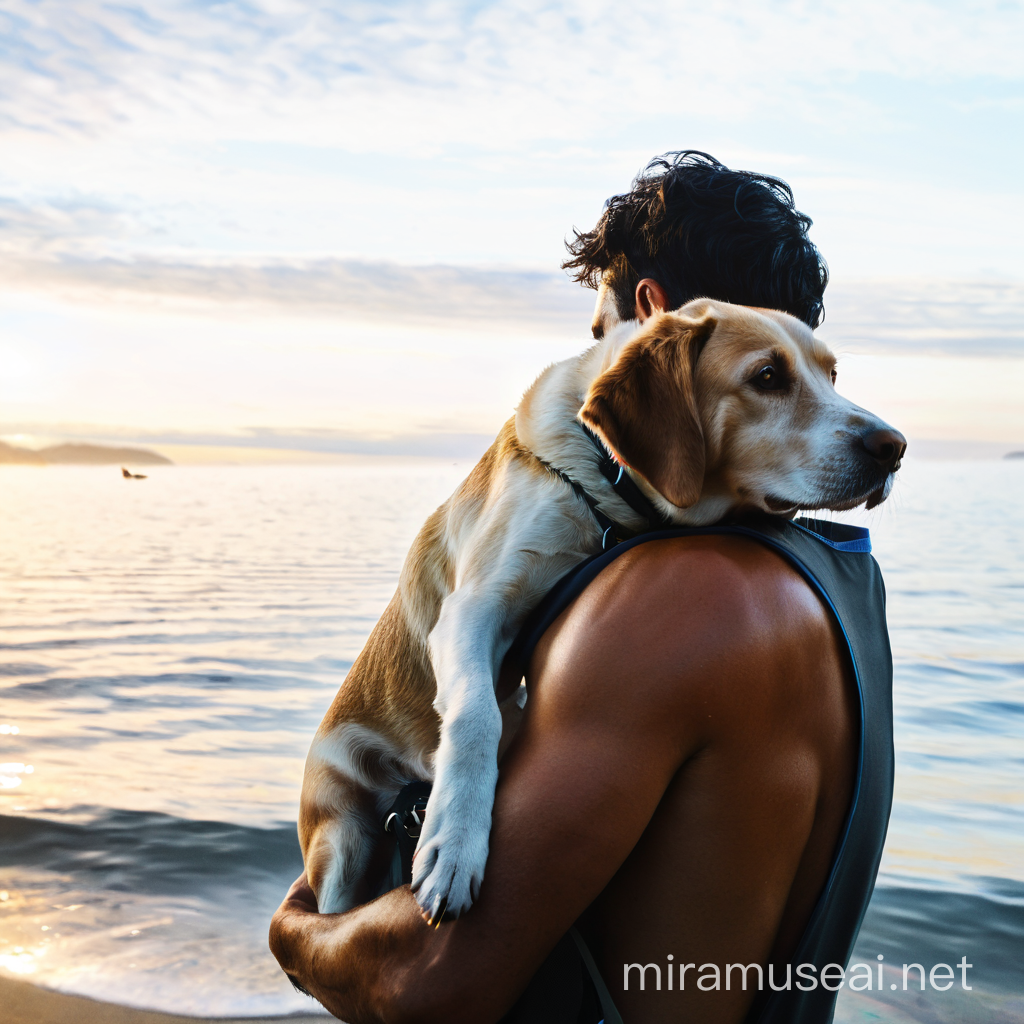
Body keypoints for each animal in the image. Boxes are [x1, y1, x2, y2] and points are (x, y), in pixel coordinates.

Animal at [296, 299, 905, 925]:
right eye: (767, 377)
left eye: (832, 375)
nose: (894, 447)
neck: (606, 491)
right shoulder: (473, 608)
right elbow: (476, 716)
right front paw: (457, 841)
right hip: (341, 842)